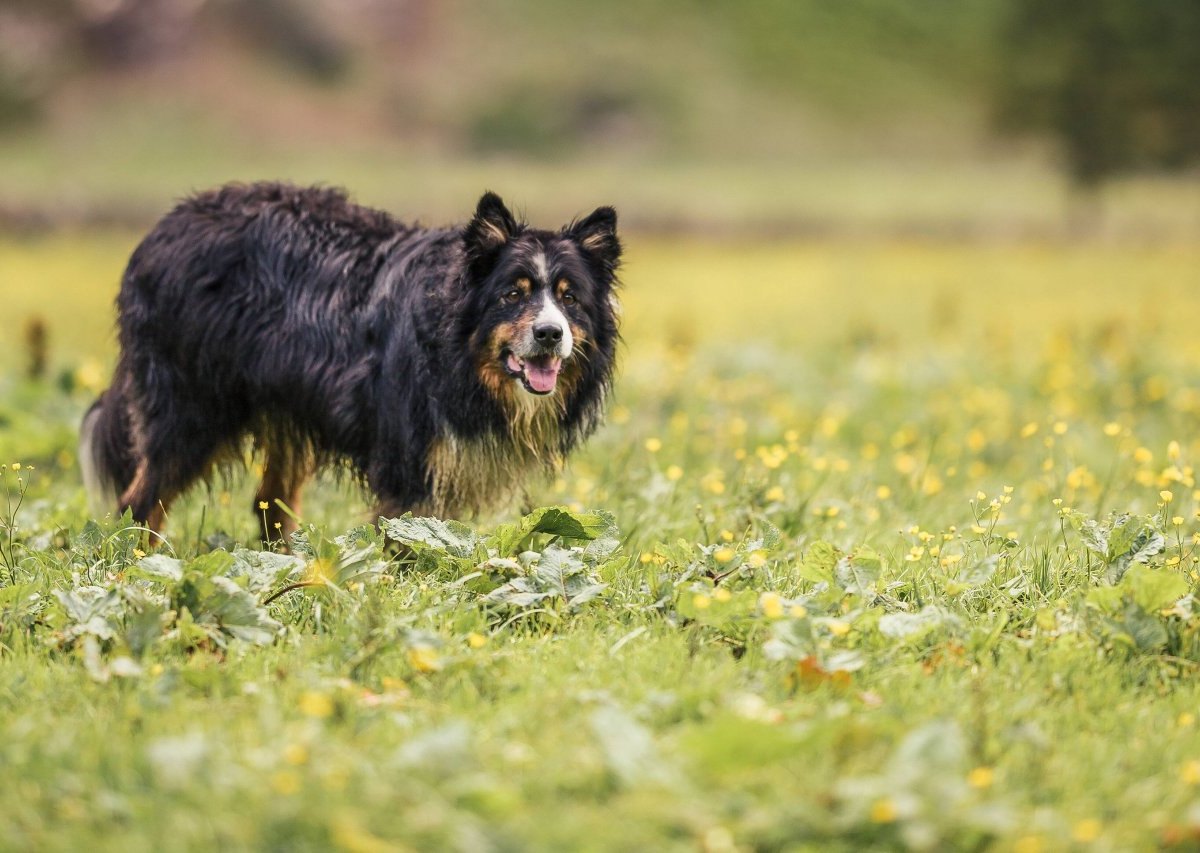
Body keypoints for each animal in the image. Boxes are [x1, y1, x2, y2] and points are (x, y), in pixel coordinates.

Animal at [81, 184, 624, 544]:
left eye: (569, 298)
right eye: (513, 294)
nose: (550, 334)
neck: (459, 362)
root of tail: (164, 228)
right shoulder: (408, 456)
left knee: (269, 508)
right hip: (194, 403)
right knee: (141, 500)